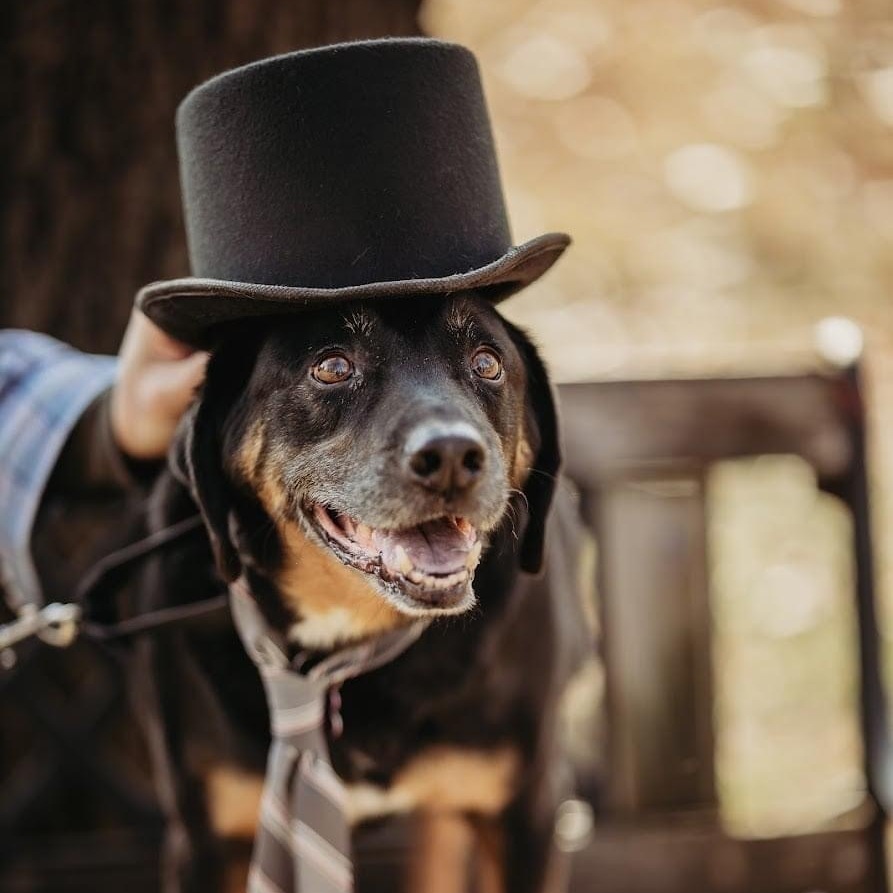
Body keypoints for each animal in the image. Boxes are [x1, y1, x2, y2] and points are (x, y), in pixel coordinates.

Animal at [132, 292, 592, 892]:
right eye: (332, 366)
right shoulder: (204, 837)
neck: (348, 634)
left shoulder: (527, 813)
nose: (451, 455)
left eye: (487, 363)